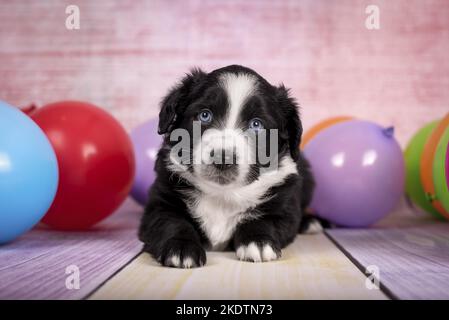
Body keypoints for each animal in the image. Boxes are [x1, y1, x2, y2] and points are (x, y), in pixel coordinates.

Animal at [138, 64, 316, 268]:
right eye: (204, 115)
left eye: (256, 124)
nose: (223, 158)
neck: (223, 194)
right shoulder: (160, 203)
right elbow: (172, 222)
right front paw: (182, 248)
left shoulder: (284, 207)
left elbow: (265, 220)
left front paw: (258, 242)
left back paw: (310, 223)